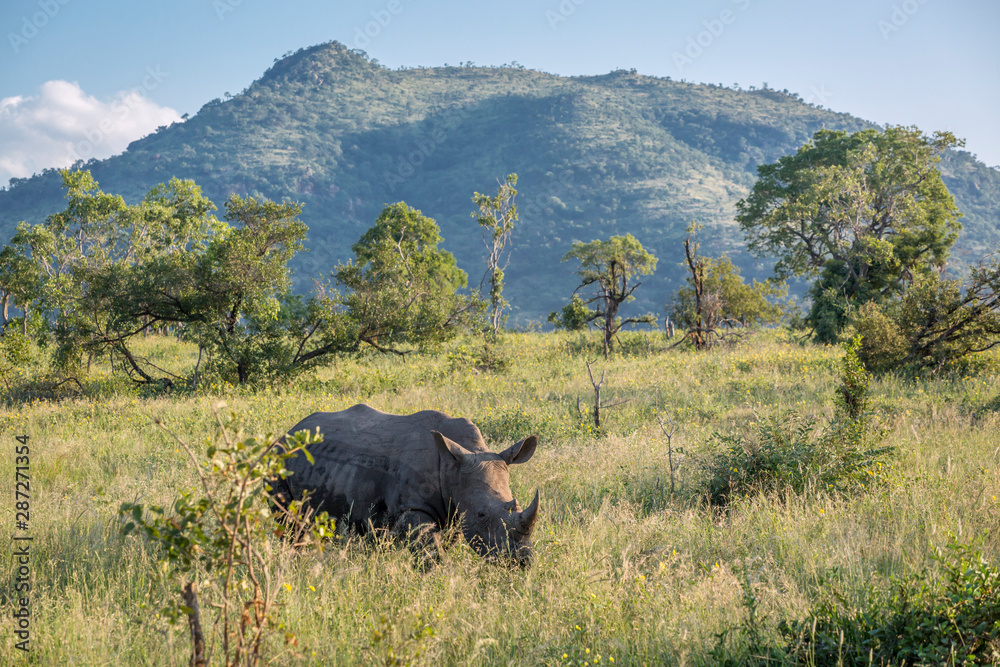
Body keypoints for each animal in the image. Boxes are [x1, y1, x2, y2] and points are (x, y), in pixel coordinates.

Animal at [270, 404, 540, 565]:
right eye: (482, 514)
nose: (522, 560)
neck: (455, 465)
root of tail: (289, 431)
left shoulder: (453, 511)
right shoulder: (412, 507)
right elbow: (430, 552)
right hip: (278, 461)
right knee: (288, 524)